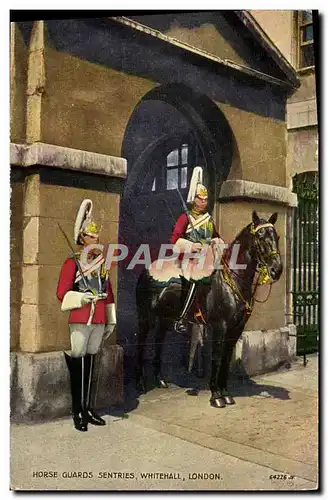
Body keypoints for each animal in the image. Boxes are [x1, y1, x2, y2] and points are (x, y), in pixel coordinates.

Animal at [135, 209, 284, 408]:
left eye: (276, 236)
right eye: (260, 237)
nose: (277, 269)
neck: (233, 279)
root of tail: (146, 270)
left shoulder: (236, 329)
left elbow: (226, 360)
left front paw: (225, 393)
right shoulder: (220, 328)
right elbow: (216, 359)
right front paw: (216, 396)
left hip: (164, 319)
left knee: (159, 341)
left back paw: (160, 379)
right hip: (145, 318)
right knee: (141, 344)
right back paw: (140, 383)